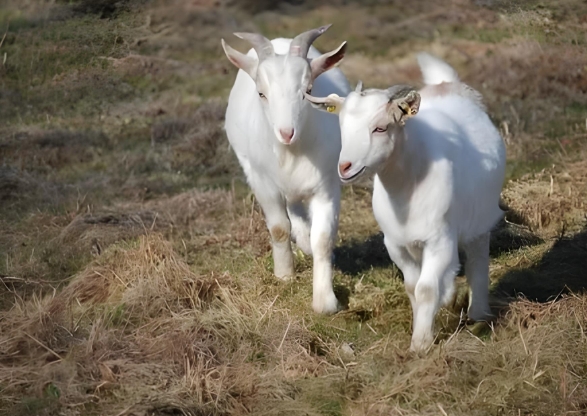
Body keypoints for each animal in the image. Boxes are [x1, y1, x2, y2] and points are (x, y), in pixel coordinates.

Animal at [220, 26, 350, 314]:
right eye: (261, 93)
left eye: (308, 90)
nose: (286, 132)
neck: (292, 153)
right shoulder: (262, 182)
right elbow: (279, 228)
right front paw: (284, 275)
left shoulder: (326, 185)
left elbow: (323, 239)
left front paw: (325, 301)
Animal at [308, 51, 506, 352]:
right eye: (342, 126)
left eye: (380, 128)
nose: (345, 167)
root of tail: (445, 83)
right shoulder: (396, 243)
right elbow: (413, 287)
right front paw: (421, 327)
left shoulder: (440, 240)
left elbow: (425, 288)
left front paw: (421, 344)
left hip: (479, 220)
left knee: (477, 257)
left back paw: (479, 313)